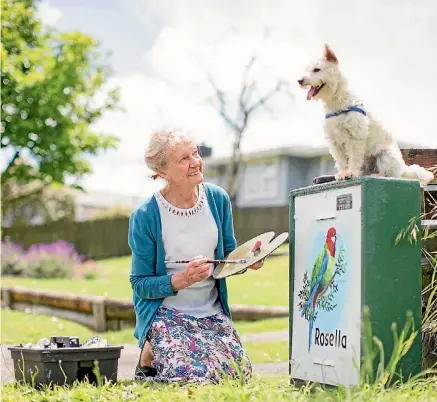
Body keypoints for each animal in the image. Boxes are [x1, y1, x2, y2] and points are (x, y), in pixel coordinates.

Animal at [296, 43, 432, 185]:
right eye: (307, 70)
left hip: (385, 155)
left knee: (389, 173)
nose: (299, 80)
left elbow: (354, 158)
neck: (337, 103)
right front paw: (342, 173)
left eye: (317, 69)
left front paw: (350, 173)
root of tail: (404, 170)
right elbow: (341, 161)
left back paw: (378, 174)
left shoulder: (355, 136)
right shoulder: (334, 141)